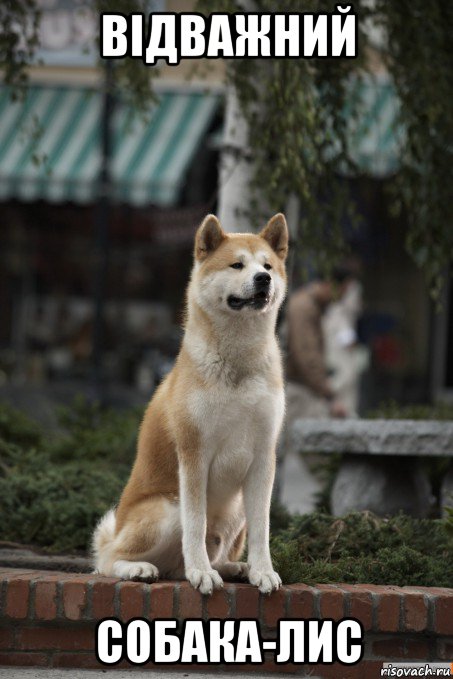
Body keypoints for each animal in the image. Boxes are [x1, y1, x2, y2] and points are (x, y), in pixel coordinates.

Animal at [93, 212, 288, 596]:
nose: (263, 279)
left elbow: (263, 530)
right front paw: (201, 573)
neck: (237, 364)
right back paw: (142, 568)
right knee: (108, 560)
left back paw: (235, 568)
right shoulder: (194, 454)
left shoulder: (263, 457)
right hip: (167, 508)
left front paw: (263, 571)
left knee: (203, 558)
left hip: (236, 509)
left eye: (268, 266)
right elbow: (195, 526)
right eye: (237, 264)